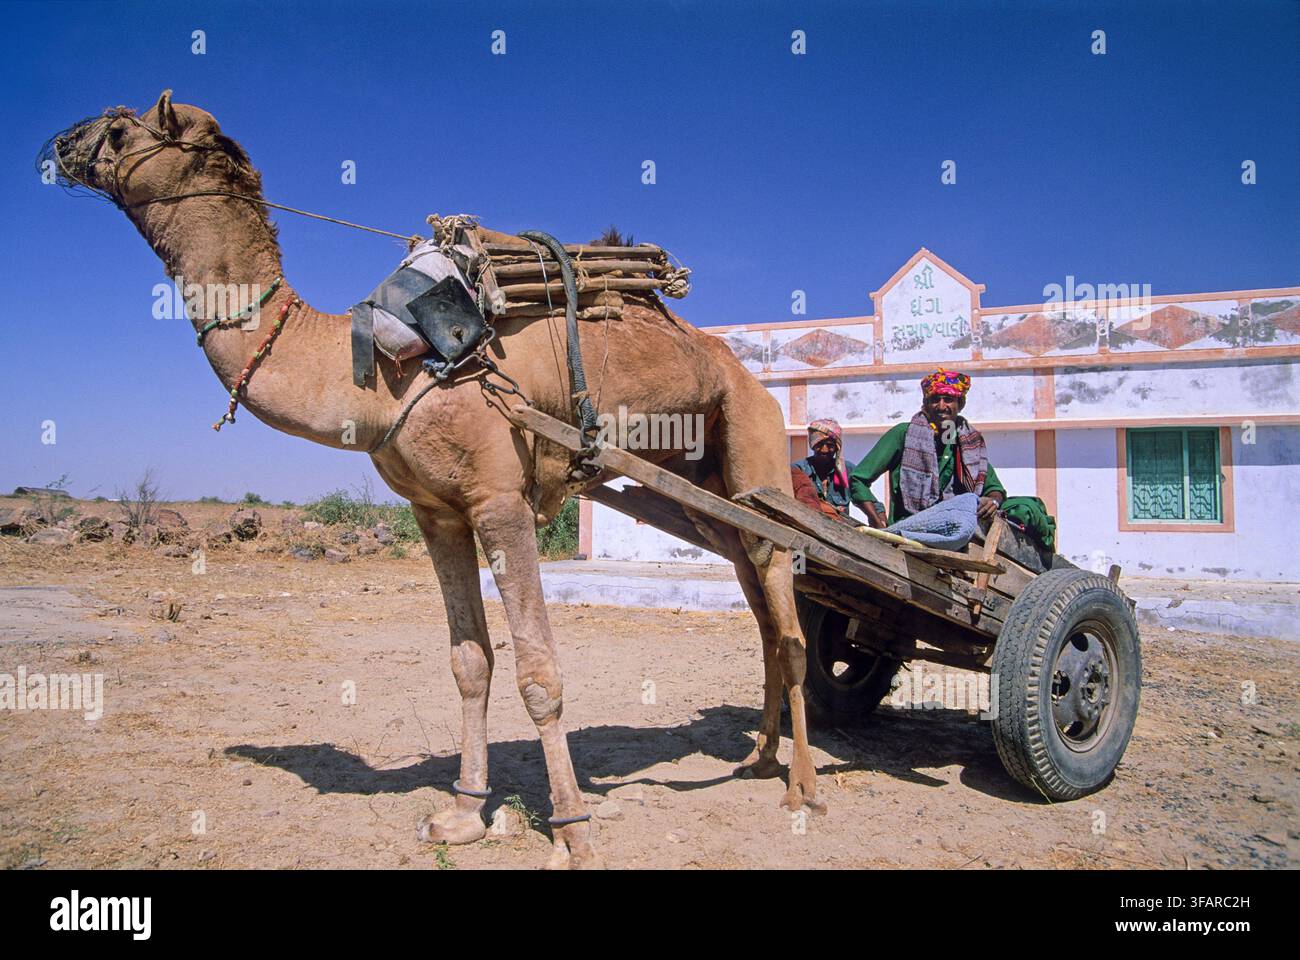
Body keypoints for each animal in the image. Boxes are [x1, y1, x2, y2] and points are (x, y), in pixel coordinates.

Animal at [47, 91, 821, 868]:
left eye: (122, 130)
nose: (61, 143)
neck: (372, 374)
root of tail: (742, 375)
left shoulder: (499, 500)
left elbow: (539, 674)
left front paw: (573, 834)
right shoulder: (437, 512)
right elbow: (470, 662)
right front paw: (463, 813)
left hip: (753, 440)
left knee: (787, 611)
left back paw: (802, 788)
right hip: (704, 490)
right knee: (758, 604)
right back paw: (757, 757)